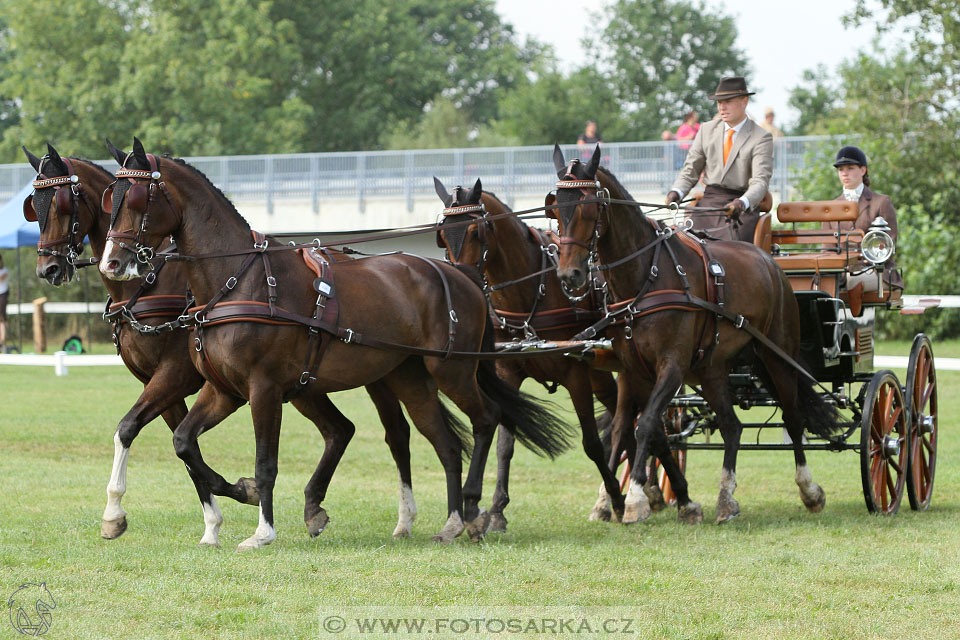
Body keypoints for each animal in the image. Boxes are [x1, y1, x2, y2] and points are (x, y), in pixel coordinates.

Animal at [25, 144, 428, 544]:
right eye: (35, 206)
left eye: (62, 204)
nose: (48, 269)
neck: (150, 284)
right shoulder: (168, 383)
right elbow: (178, 443)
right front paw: (207, 519)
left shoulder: (176, 375)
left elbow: (133, 429)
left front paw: (230, 502)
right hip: (306, 385)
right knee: (340, 430)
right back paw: (317, 507)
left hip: (373, 374)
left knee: (396, 433)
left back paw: (404, 516)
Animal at [99, 138, 568, 548]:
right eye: (110, 199)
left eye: (137, 198)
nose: (112, 263)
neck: (238, 280)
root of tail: (461, 275)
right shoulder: (223, 390)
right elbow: (183, 442)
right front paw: (235, 497)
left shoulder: (263, 389)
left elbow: (265, 463)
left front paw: (262, 531)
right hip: (409, 378)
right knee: (445, 443)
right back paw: (450, 523)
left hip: (451, 369)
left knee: (486, 418)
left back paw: (472, 512)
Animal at [436, 179, 632, 524]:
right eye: (443, 235)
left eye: (476, 231)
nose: (461, 281)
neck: (531, 292)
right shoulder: (509, 373)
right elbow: (505, 445)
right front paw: (497, 511)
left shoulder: (575, 373)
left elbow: (592, 443)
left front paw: (617, 499)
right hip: (600, 372)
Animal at [548, 146, 840, 524]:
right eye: (554, 209)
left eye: (588, 207)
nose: (569, 275)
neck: (645, 277)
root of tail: (770, 263)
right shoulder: (631, 369)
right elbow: (628, 428)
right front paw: (610, 500)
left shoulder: (671, 366)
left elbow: (645, 425)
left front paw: (635, 499)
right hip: (710, 369)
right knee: (732, 426)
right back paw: (726, 499)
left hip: (778, 357)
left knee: (792, 418)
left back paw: (809, 490)